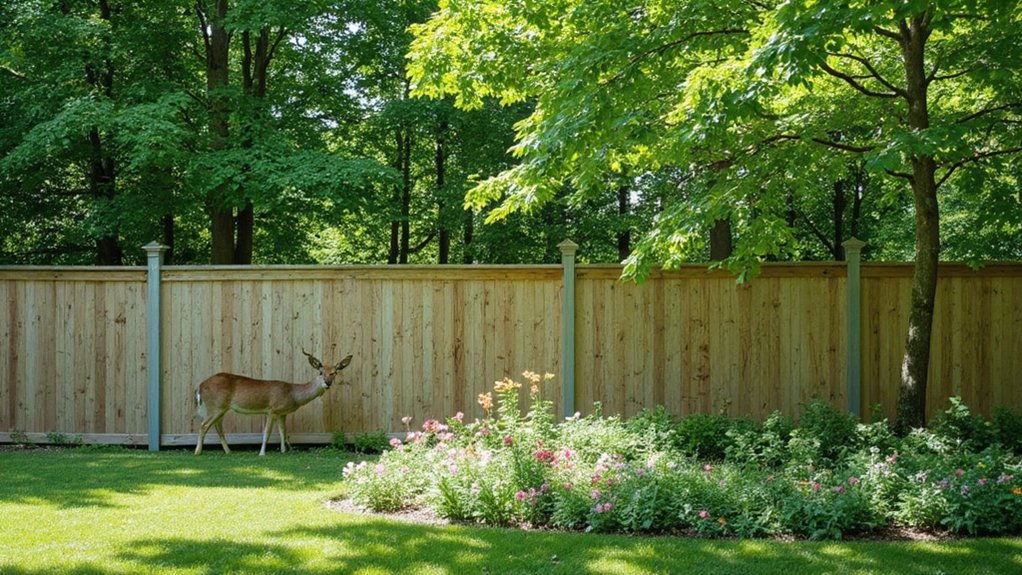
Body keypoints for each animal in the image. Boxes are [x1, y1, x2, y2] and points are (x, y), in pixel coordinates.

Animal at [194, 349, 353, 456]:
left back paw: (228, 451)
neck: (292, 394)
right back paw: (198, 452)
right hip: (216, 406)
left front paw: (284, 450)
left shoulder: (282, 413)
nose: (327, 383)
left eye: (334, 372)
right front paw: (262, 453)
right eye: (321, 372)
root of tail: (200, 386)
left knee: (217, 427)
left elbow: (283, 431)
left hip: (221, 408)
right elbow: (267, 432)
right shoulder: (271, 409)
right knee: (203, 425)